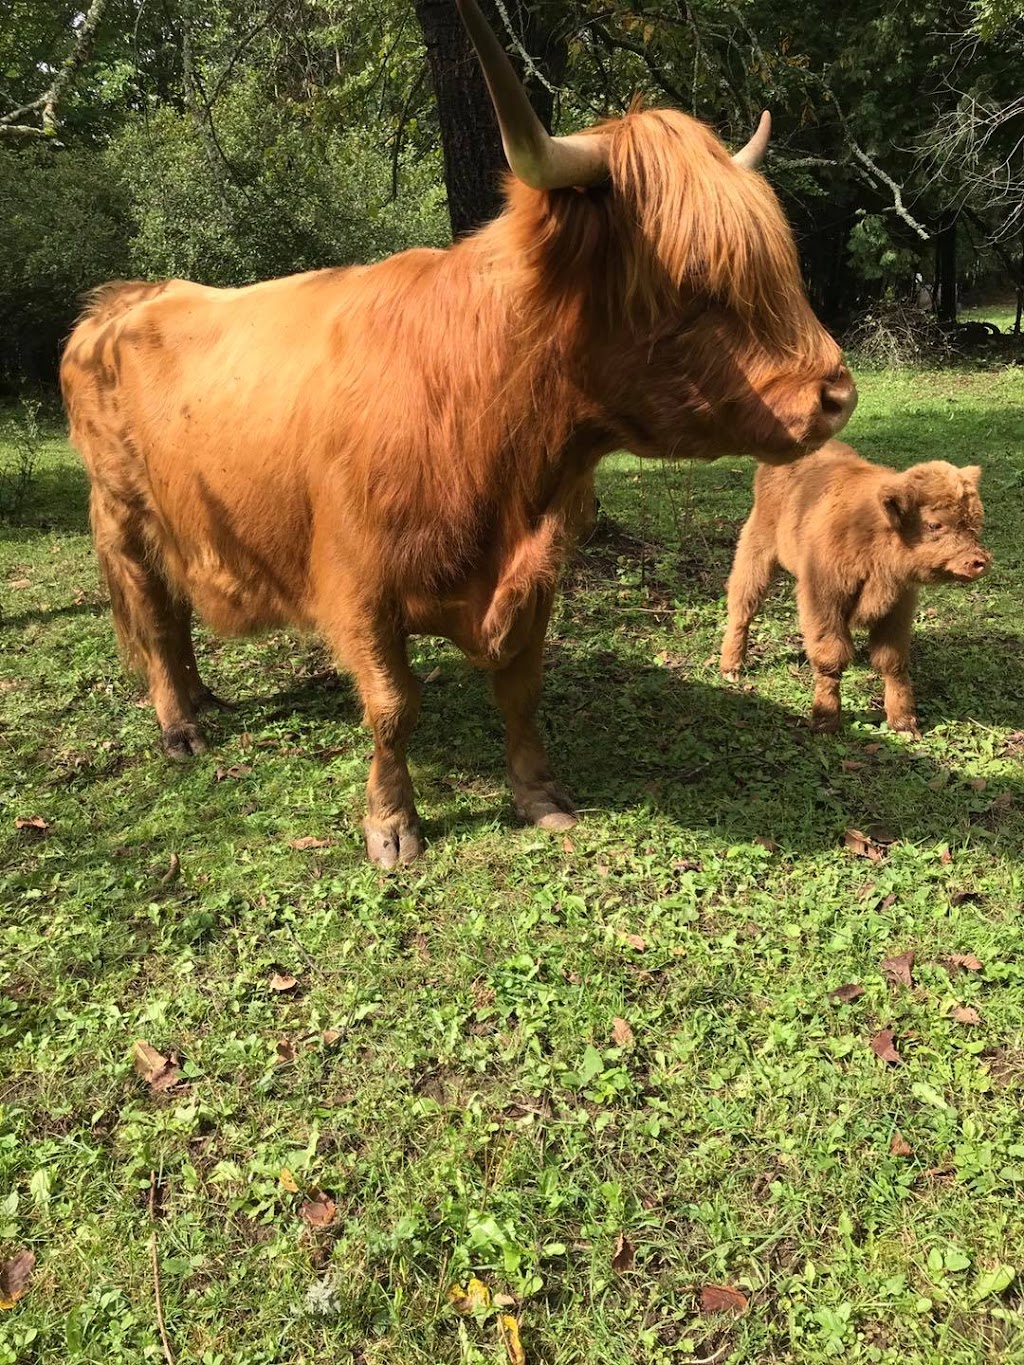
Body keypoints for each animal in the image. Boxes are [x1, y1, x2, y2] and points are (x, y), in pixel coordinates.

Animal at [58, 0, 857, 862]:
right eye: (696, 279)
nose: (837, 393)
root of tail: (118, 303)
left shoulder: (536, 573)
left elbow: (521, 689)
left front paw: (538, 794)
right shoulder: (357, 585)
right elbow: (392, 705)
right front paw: (392, 824)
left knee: (175, 614)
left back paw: (206, 698)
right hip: (124, 517)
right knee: (154, 616)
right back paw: (179, 725)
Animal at [715, 442, 988, 731]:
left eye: (975, 521)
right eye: (934, 524)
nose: (978, 562)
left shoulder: (897, 607)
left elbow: (893, 661)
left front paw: (903, 722)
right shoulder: (823, 601)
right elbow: (830, 657)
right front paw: (825, 720)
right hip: (756, 549)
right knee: (743, 605)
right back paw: (731, 667)